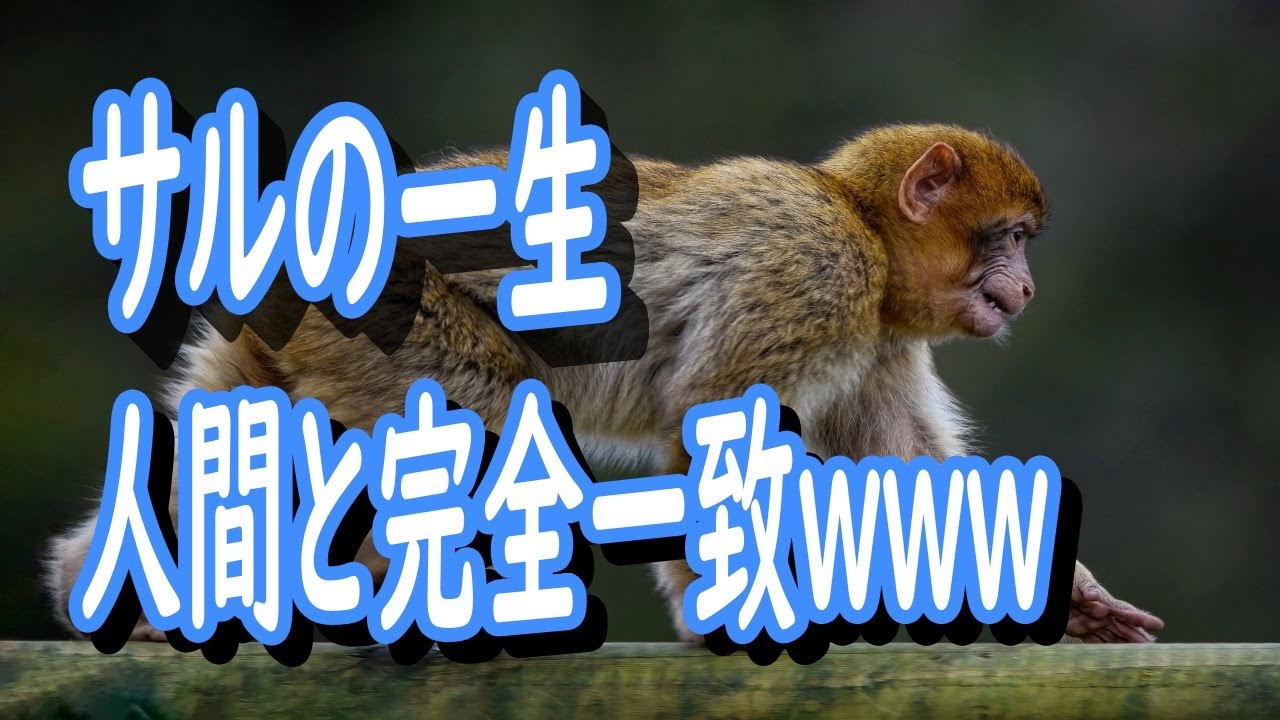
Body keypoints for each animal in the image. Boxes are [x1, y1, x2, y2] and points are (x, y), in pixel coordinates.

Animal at [44, 123, 1163, 646]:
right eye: (1006, 239)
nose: (1024, 284)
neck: (869, 240)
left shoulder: (882, 339)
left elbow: (901, 471)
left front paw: (1065, 599)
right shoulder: (813, 272)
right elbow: (710, 427)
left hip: (292, 343)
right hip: (384, 318)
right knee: (478, 422)